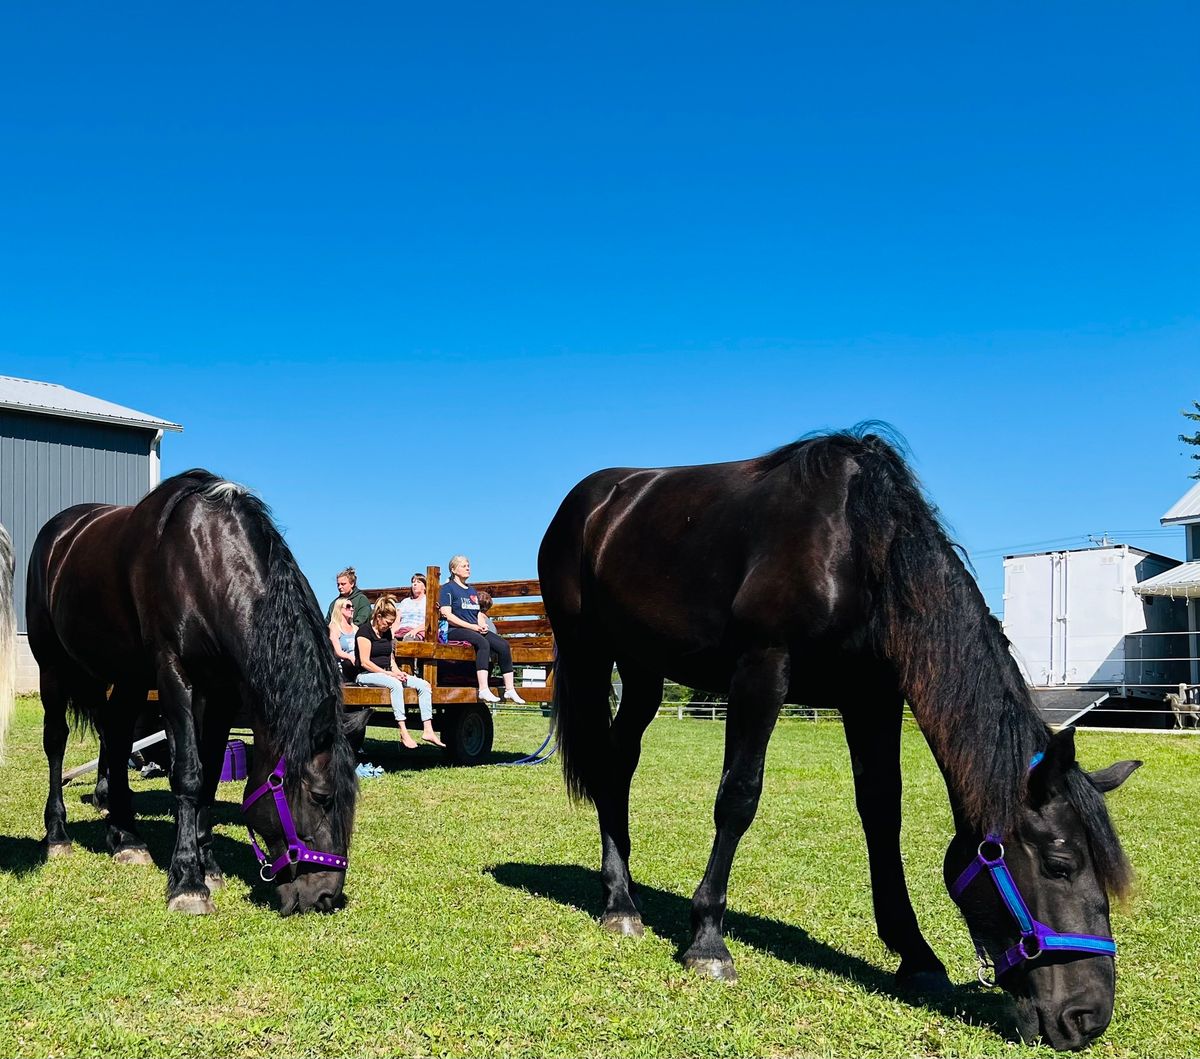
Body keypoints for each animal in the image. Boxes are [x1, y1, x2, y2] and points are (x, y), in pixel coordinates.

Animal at [25, 465, 357, 912]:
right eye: (322, 796)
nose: (324, 896)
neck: (204, 560)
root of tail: (59, 532)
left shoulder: (221, 691)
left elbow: (211, 775)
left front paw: (209, 864)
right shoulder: (173, 674)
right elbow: (187, 772)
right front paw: (187, 880)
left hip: (127, 677)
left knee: (115, 736)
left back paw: (126, 838)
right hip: (54, 668)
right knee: (56, 742)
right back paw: (58, 835)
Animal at [544, 429, 1142, 1046]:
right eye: (1060, 864)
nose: (1087, 1017)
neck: (860, 552)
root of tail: (593, 500)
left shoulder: (872, 696)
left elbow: (882, 812)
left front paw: (916, 955)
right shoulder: (762, 670)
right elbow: (739, 797)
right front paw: (708, 939)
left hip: (643, 669)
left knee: (617, 764)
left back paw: (625, 895)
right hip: (591, 654)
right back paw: (619, 904)